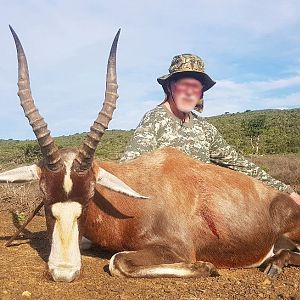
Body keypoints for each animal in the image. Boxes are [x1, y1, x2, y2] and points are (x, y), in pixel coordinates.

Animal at [1, 27, 300, 282]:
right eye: (43, 194)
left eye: (90, 196)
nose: (63, 272)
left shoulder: (177, 249)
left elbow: (118, 261)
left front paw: (208, 267)